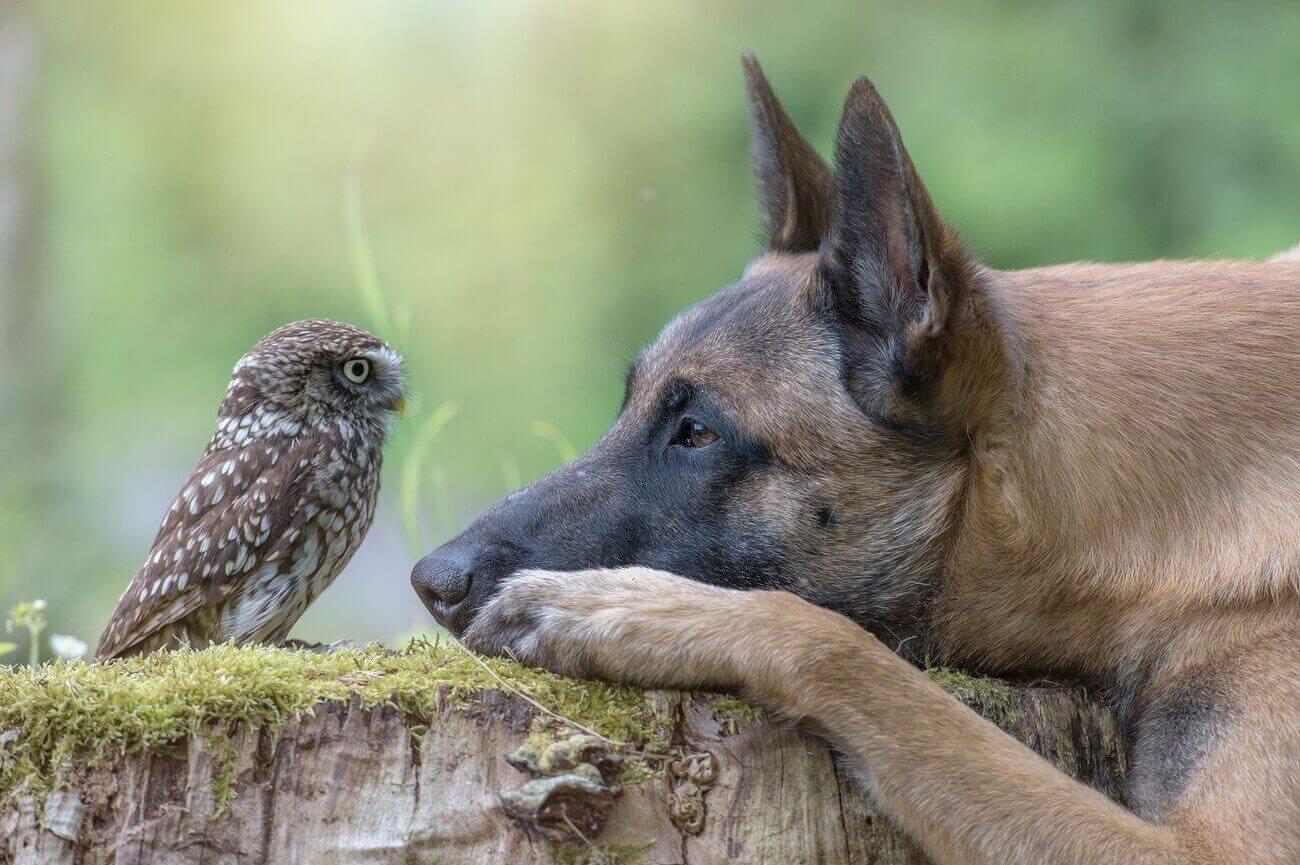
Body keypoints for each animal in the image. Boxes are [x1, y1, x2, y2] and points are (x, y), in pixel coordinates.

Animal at [416, 55, 1300, 863]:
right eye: (627, 404)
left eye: (697, 433)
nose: (432, 581)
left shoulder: (1204, 851)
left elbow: (842, 648)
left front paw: (626, 609)